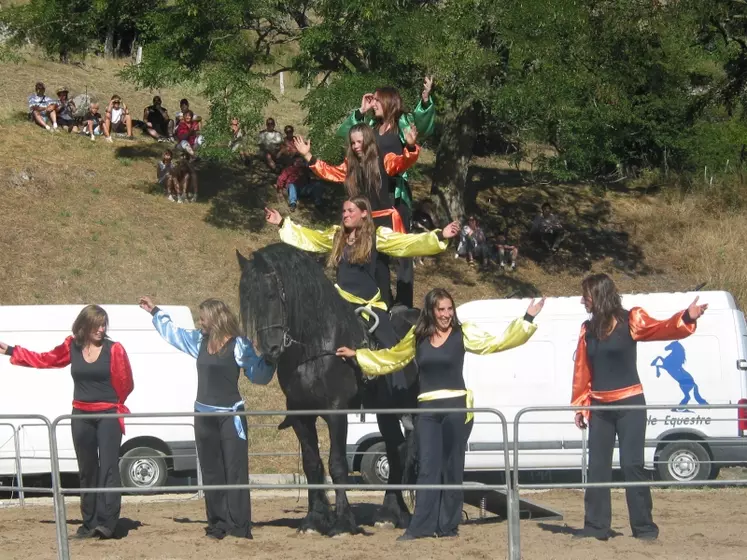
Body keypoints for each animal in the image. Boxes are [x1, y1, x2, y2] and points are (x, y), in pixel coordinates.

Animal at [237, 243, 418, 536]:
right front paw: (314, 519)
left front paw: (343, 521)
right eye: (248, 301)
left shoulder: (336, 411)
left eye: (272, 295)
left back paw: (392, 512)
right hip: (384, 412)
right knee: (396, 448)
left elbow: (337, 464)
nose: (270, 349)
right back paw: (391, 512)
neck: (315, 347)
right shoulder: (301, 415)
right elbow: (312, 464)